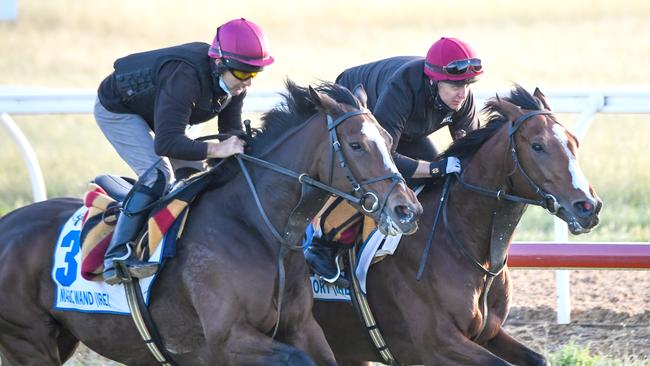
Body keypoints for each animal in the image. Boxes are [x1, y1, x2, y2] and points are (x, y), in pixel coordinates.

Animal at [0, 81, 420, 364]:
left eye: (388, 139)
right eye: (356, 145)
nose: (407, 209)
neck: (259, 230)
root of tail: (7, 225)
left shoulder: (303, 327)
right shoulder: (228, 340)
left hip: (60, 337)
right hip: (28, 341)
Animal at [312, 85, 600, 364]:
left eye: (573, 142)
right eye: (538, 146)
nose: (589, 206)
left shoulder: (488, 333)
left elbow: (538, 359)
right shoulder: (439, 345)